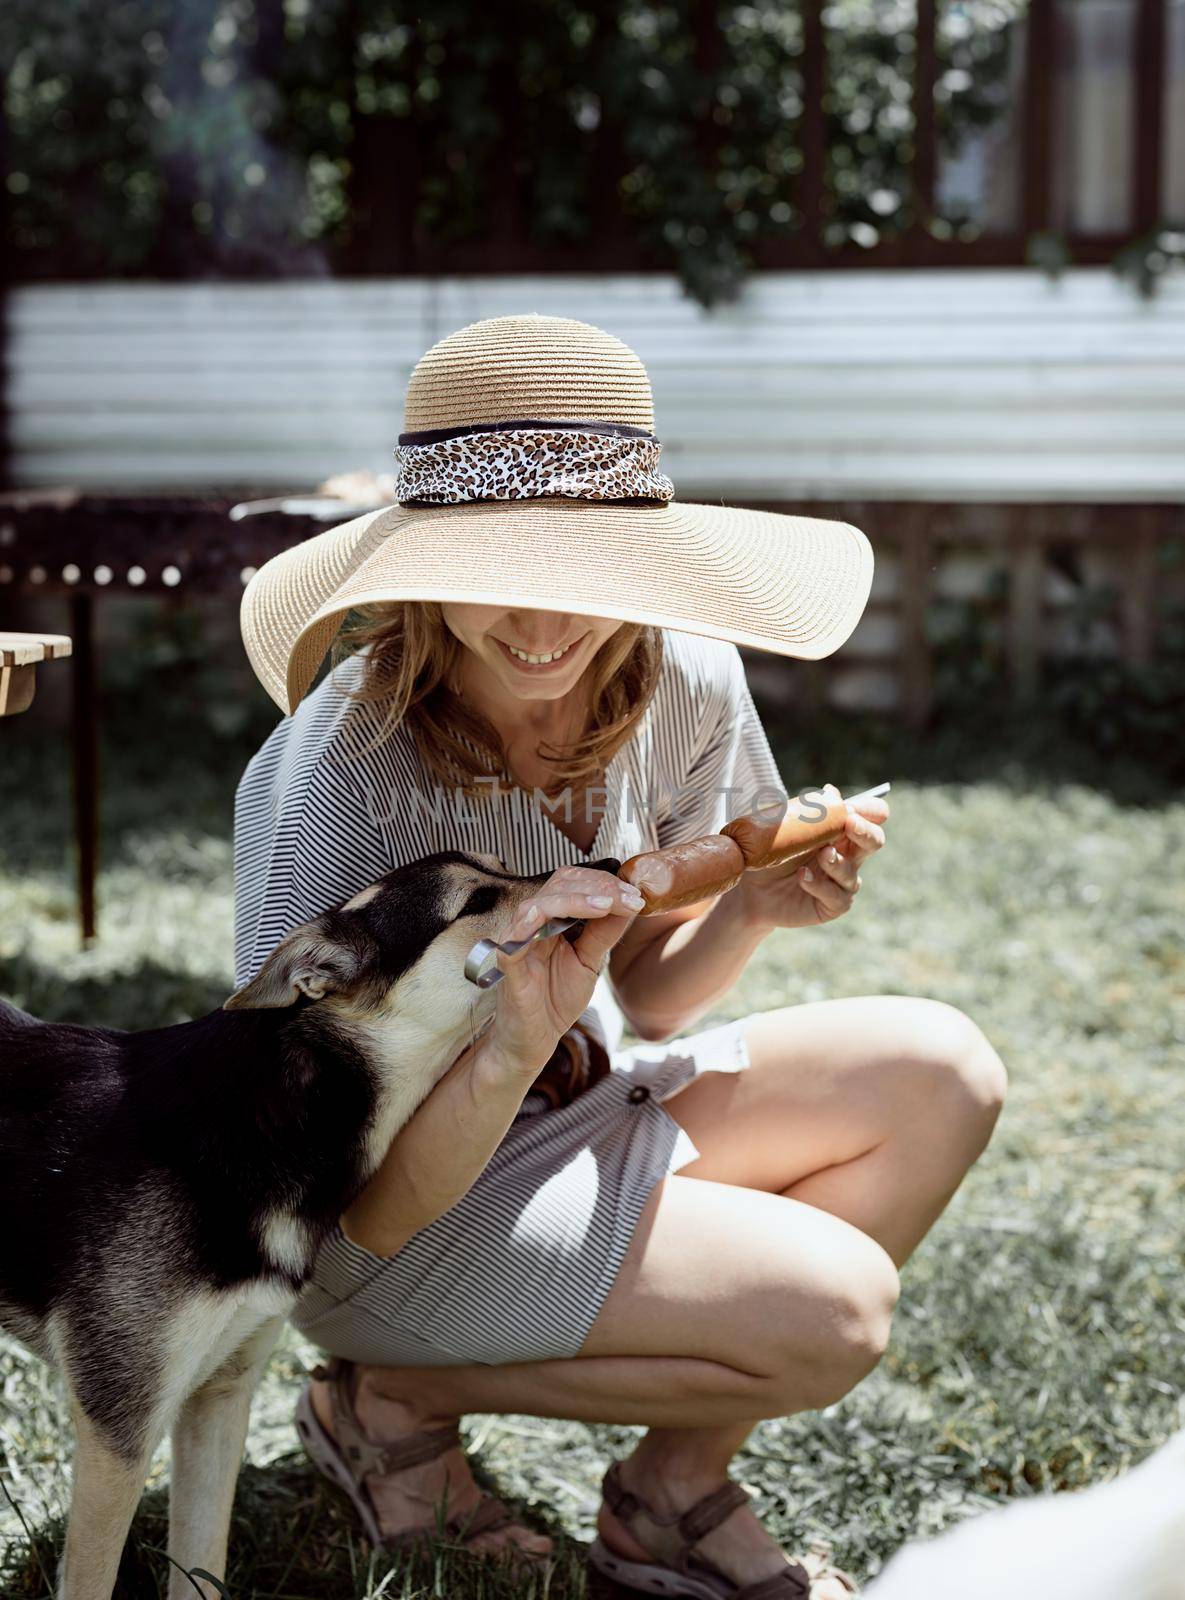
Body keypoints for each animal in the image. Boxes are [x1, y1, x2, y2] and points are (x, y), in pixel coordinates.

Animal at [0, 851, 572, 1600]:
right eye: (475, 900)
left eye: (505, 867)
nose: (607, 862)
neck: (269, 1121)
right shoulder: (117, 1428)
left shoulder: (220, 1397)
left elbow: (202, 1563)